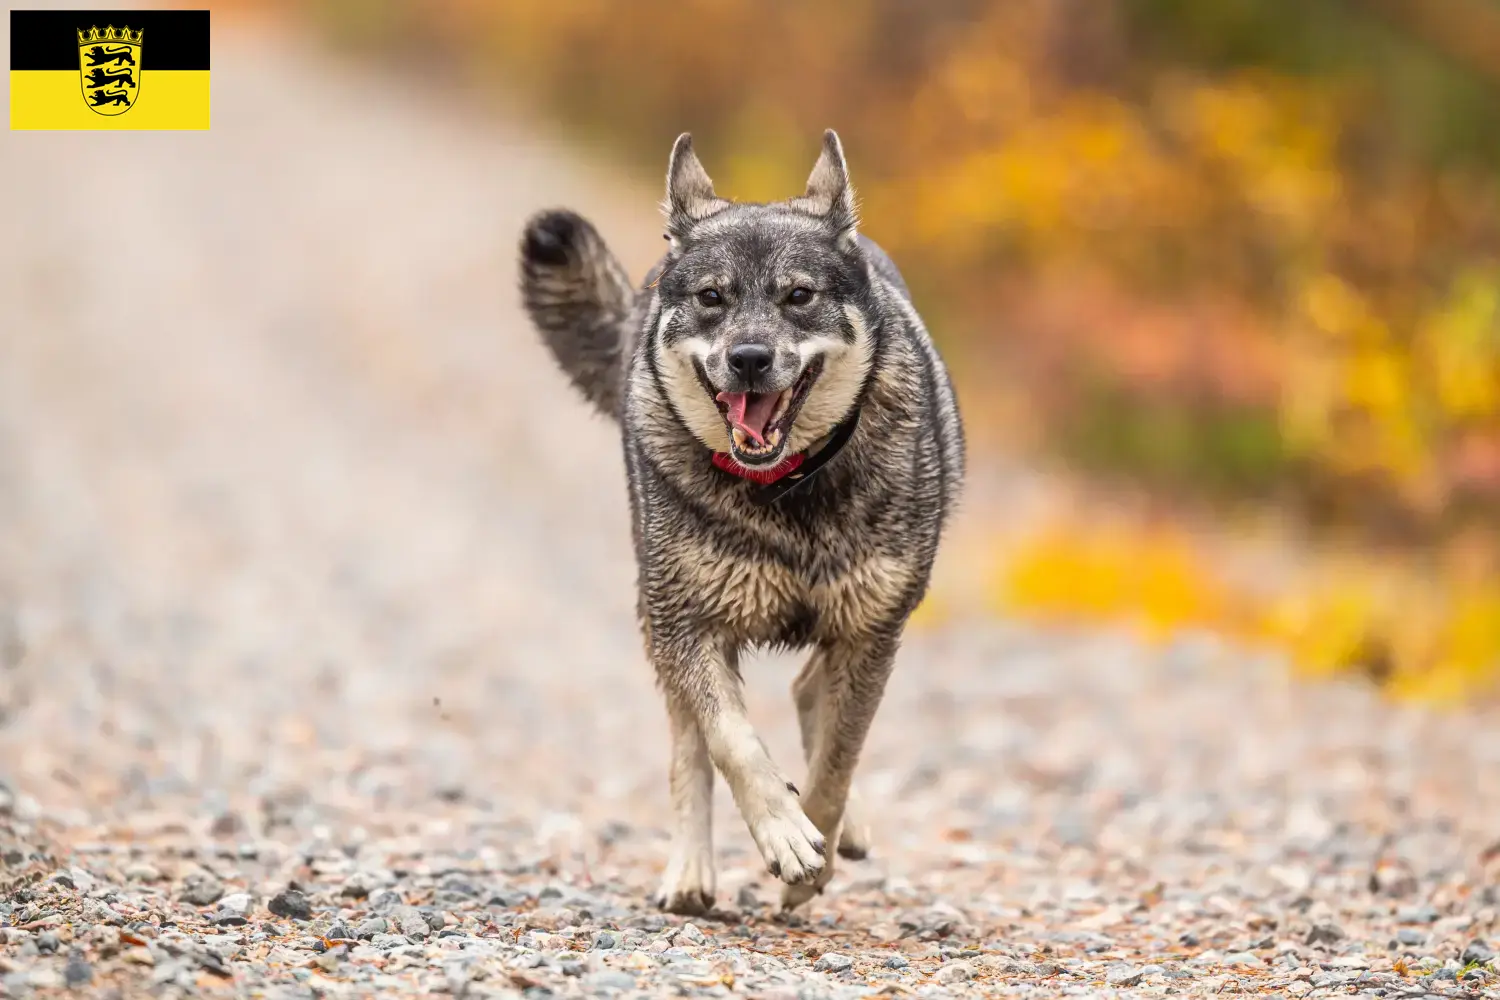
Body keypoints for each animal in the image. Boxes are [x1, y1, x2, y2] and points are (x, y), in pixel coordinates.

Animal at [519, 128, 960, 911]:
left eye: (799, 296)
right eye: (712, 298)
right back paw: (692, 873)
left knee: (811, 697)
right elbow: (730, 740)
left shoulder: (872, 631)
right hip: (658, 619)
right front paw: (783, 833)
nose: (748, 358)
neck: (786, 489)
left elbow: (838, 762)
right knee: (688, 747)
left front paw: (814, 857)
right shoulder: (687, 624)